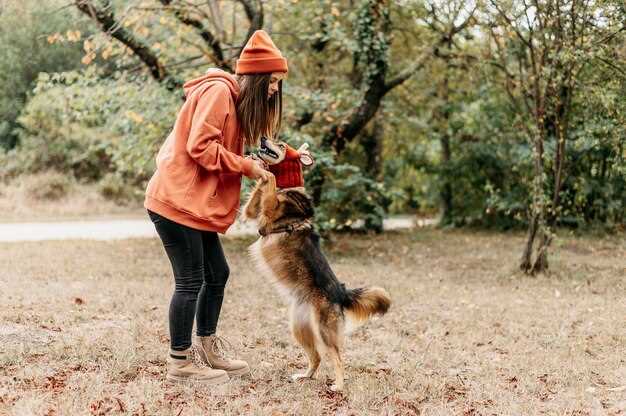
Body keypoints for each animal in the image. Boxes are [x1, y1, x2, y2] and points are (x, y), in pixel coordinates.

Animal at [241, 142, 388, 390]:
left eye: (280, 144)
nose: (262, 140)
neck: (288, 187)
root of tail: (340, 293)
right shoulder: (254, 212)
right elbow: (255, 201)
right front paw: (260, 167)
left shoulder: (271, 210)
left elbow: (271, 181)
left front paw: (267, 172)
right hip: (299, 329)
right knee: (317, 357)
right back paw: (305, 376)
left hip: (324, 331)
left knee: (337, 357)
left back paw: (338, 385)